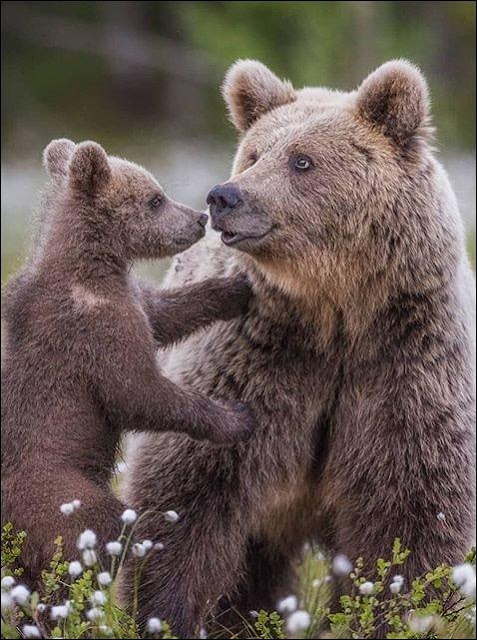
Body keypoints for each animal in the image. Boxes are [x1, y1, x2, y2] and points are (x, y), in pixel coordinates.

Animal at [122, 58, 472, 636]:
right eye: (254, 154)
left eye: (302, 160)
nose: (225, 197)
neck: (335, 312)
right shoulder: (259, 360)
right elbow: (189, 491)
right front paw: (164, 613)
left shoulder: (403, 364)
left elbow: (410, 514)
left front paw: (401, 614)